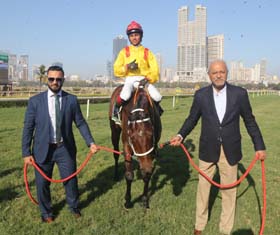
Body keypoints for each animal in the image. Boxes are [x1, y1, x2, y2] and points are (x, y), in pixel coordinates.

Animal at [109, 79, 162, 209]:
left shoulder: (153, 147)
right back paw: (115, 175)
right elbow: (129, 174)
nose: (146, 168)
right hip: (114, 131)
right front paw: (128, 201)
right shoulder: (127, 144)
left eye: (151, 134)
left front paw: (144, 199)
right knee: (116, 154)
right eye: (132, 138)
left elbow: (147, 175)